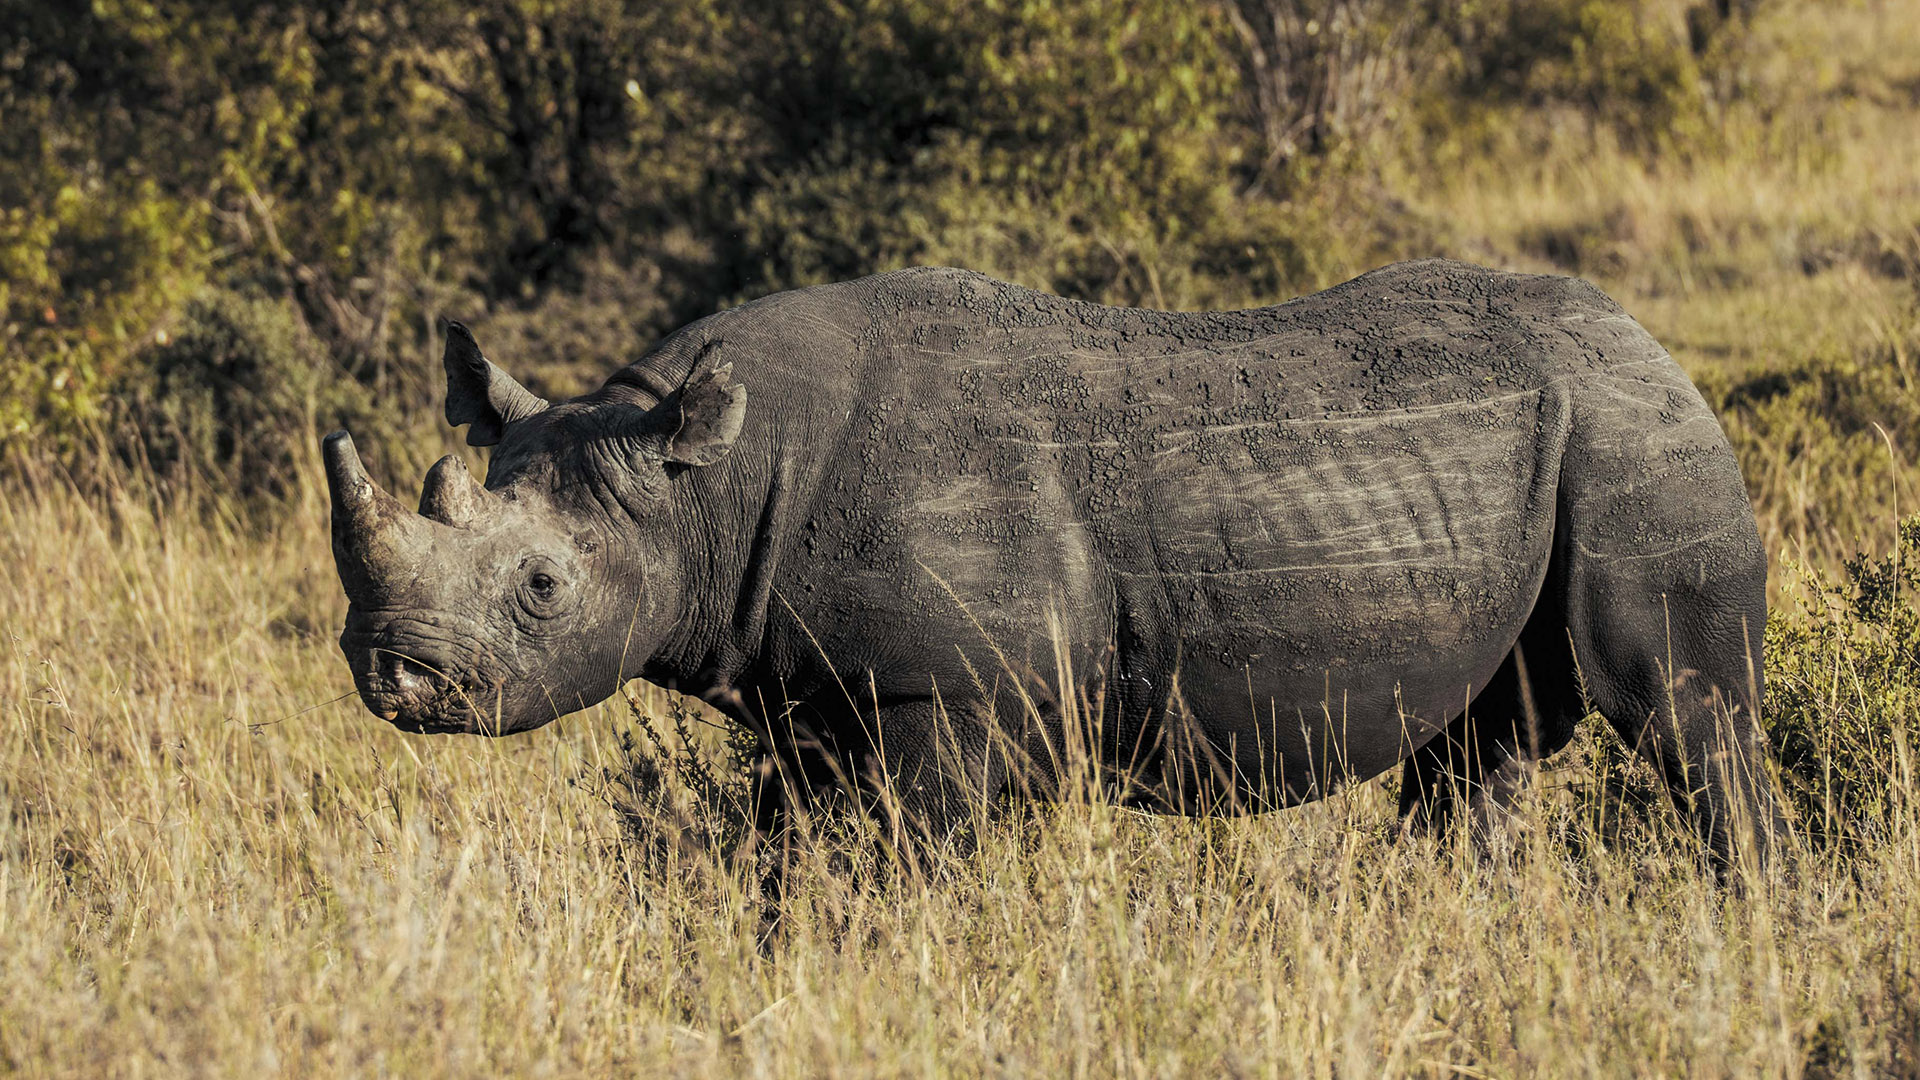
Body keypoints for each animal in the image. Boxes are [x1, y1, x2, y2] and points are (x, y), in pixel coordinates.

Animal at [323, 259, 1785, 863]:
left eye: (542, 589)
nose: (393, 676)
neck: (711, 480)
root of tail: (1652, 338)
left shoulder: (951, 694)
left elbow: (900, 865)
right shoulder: (811, 695)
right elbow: (786, 862)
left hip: (1634, 434)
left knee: (1686, 711)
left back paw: (1756, 917)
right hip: (1572, 435)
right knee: (1485, 744)